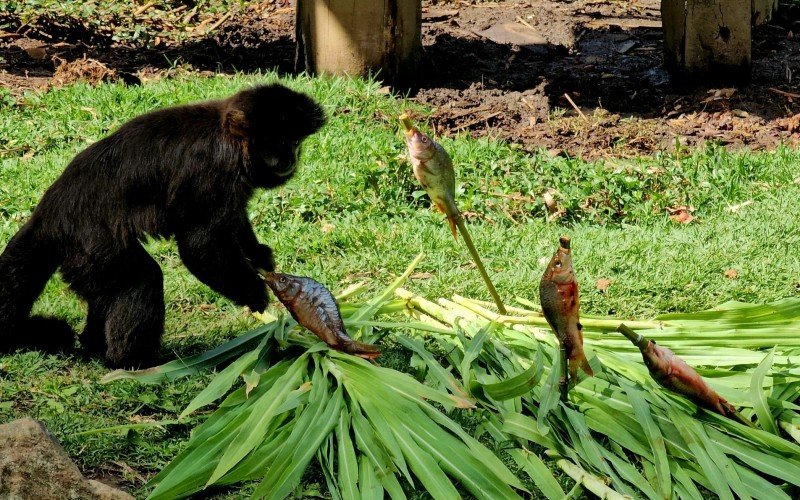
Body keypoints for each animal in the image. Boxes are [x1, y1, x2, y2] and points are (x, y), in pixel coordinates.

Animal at [0, 83, 326, 368]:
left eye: (295, 142)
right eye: (282, 142)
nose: (291, 157)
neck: (228, 137)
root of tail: (49, 216)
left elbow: (233, 219)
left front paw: (258, 256)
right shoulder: (209, 169)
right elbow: (199, 246)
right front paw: (254, 292)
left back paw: (95, 345)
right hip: (89, 245)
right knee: (142, 279)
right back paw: (132, 362)